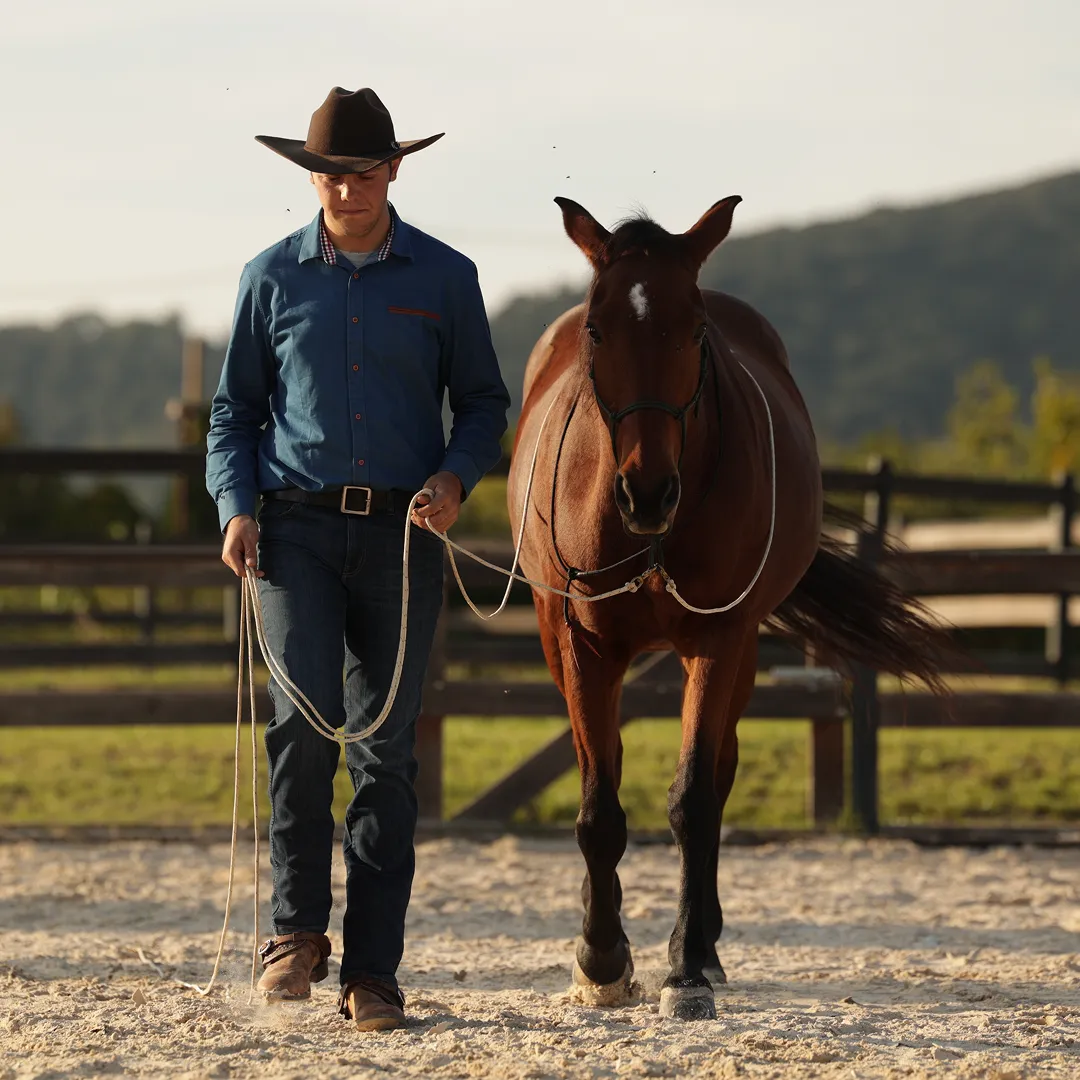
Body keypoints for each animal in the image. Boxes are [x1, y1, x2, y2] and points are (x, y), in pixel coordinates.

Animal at [506, 195, 947, 1021]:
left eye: (695, 329)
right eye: (597, 328)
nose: (647, 492)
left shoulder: (719, 639)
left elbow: (694, 799)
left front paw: (684, 968)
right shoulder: (581, 645)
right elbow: (598, 804)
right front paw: (601, 957)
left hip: (737, 654)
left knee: (720, 771)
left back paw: (701, 944)